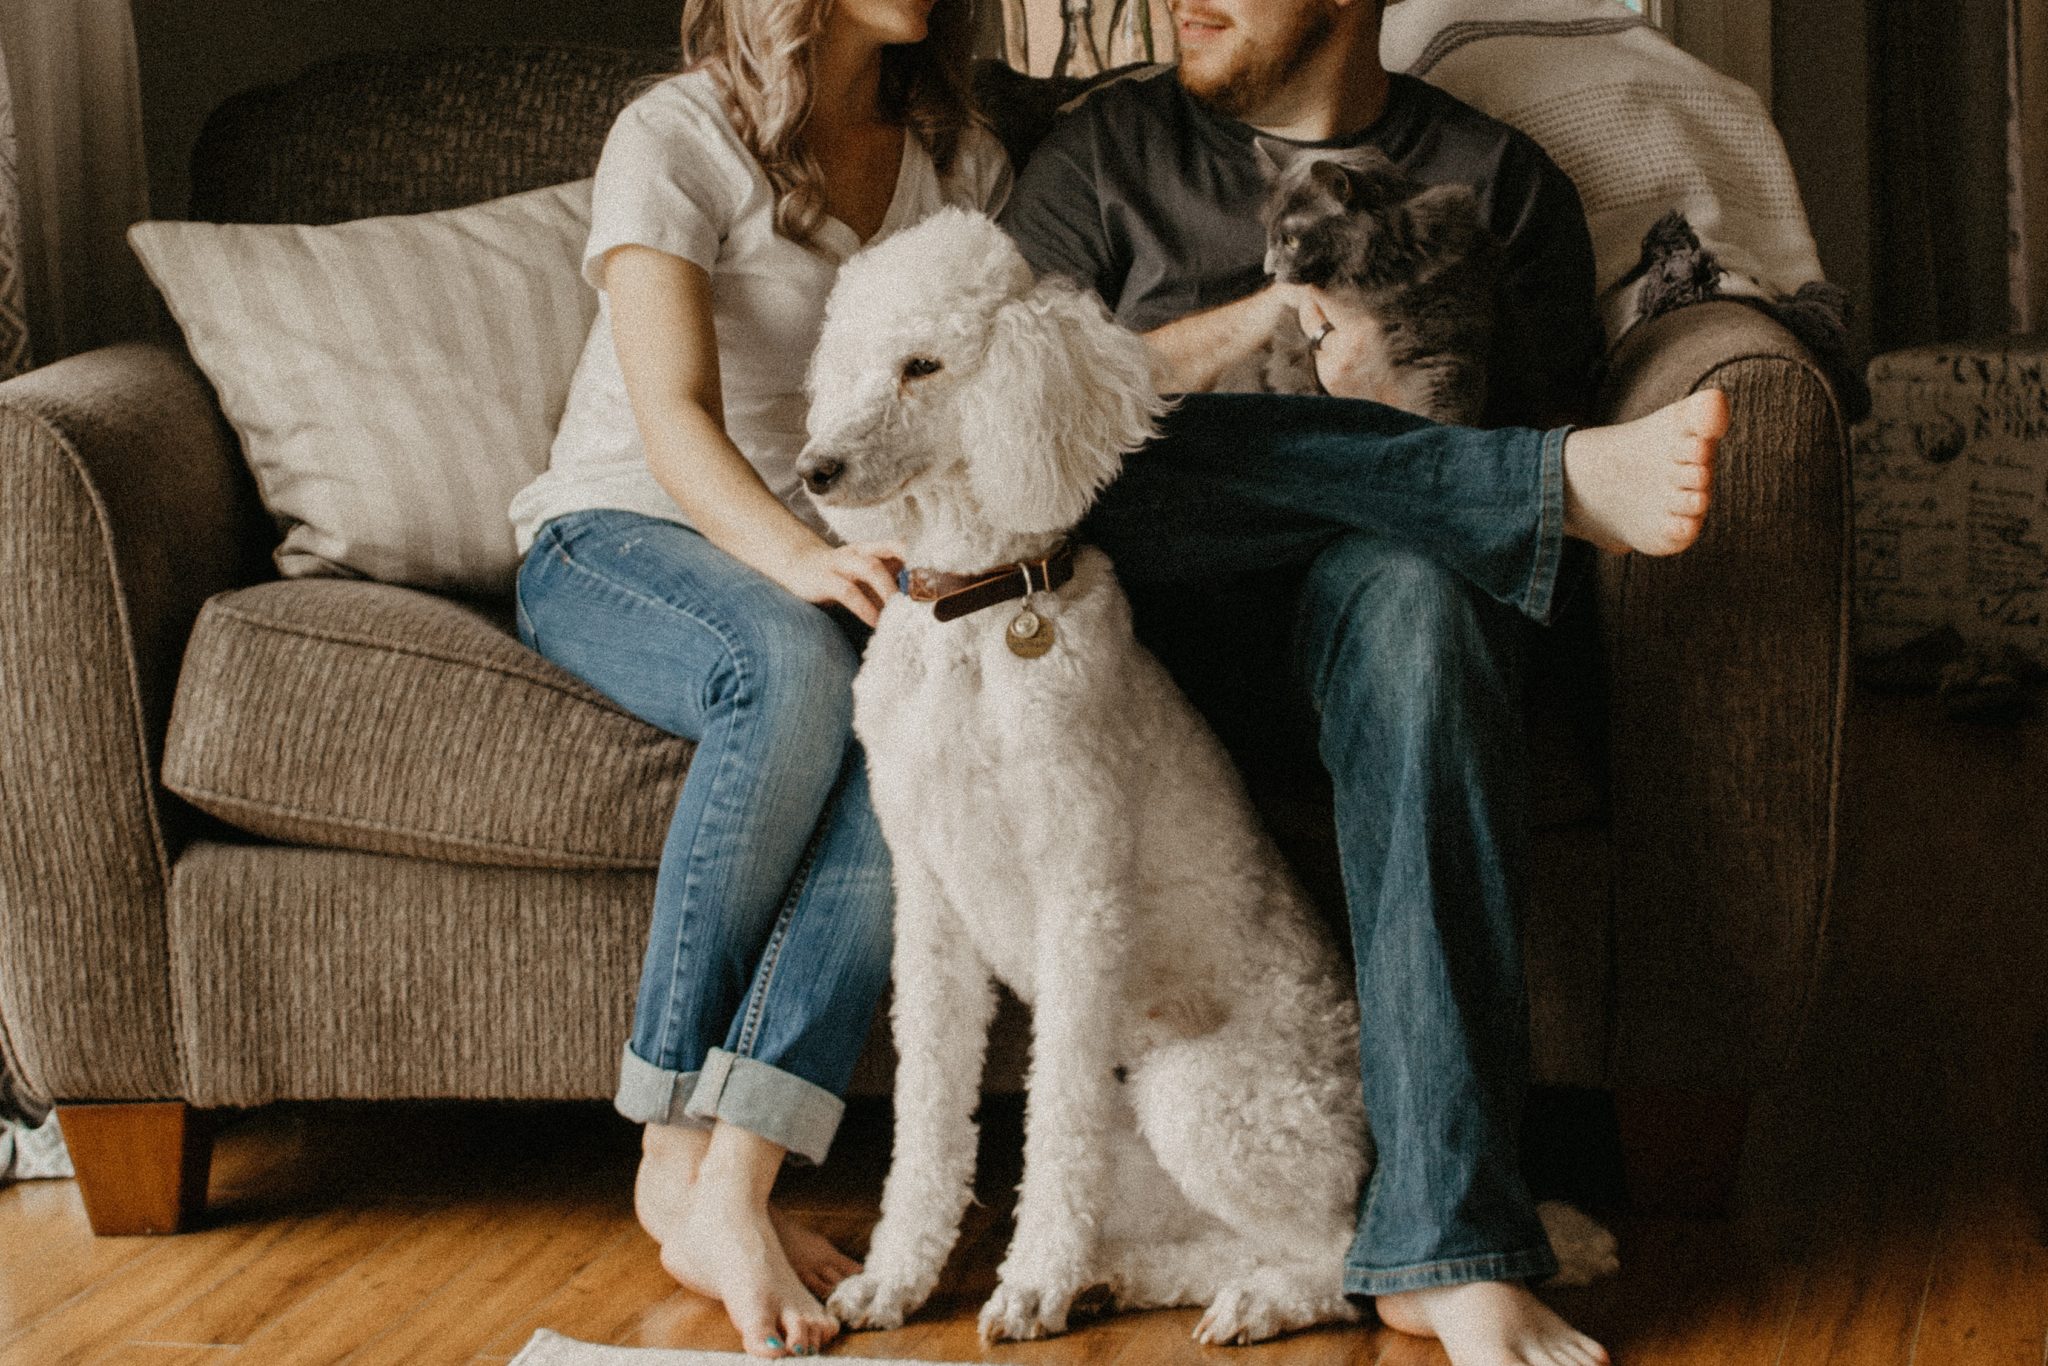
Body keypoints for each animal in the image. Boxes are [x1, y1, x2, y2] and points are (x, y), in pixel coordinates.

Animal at [1228, 142, 1507, 423]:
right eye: (1269, 233)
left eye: (1292, 240)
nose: (1268, 270)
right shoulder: (1291, 338)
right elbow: (1295, 378)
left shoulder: (1440, 353)